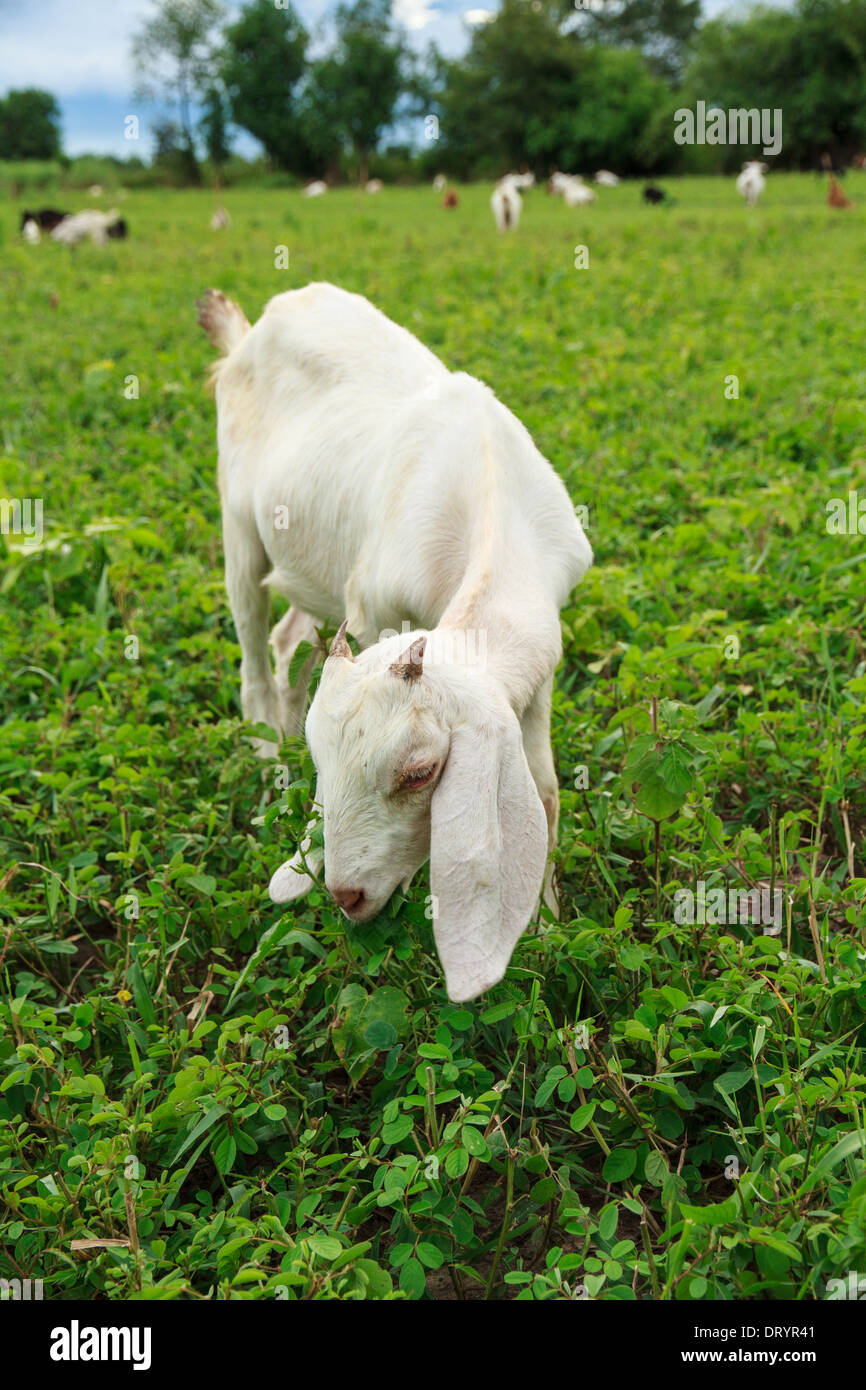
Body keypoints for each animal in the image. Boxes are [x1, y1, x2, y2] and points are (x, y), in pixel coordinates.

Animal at [195, 279, 592, 1000]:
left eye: (419, 772)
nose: (345, 897)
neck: (489, 495)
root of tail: (252, 328)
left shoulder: (541, 664)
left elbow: (547, 790)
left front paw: (549, 927)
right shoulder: (376, 610)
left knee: (290, 641)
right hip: (239, 525)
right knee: (253, 660)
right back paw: (266, 761)